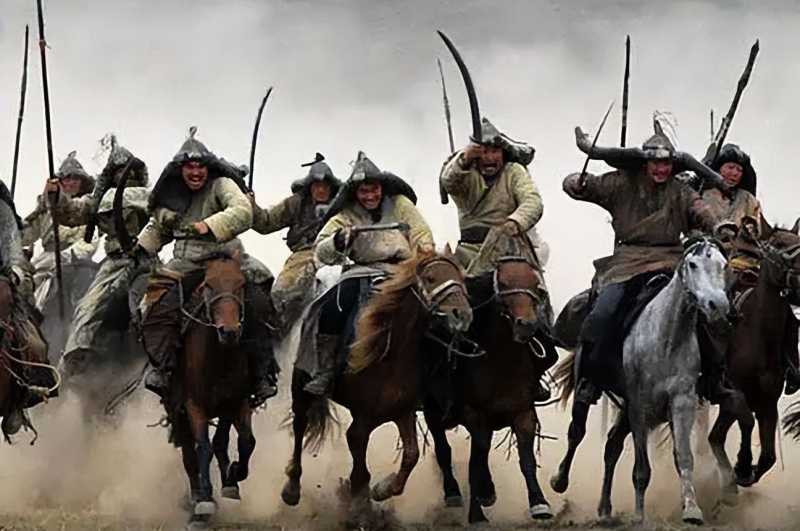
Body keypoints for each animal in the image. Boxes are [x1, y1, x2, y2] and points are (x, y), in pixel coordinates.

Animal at [165, 251, 257, 527]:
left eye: (240, 284)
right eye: (209, 285)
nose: (229, 332)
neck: (219, 358)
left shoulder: (234, 402)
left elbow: (241, 441)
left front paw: (233, 476)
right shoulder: (193, 406)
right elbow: (204, 447)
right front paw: (204, 501)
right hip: (180, 413)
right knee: (189, 455)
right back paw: (196, 499)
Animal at [280, 248, 473, 525]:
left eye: (461, 277)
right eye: (430, 278)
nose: (462, 315)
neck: (389, 354)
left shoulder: (402, 412)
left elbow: (411, 456)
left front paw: (382, 490)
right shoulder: (362, 420)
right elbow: (360, 470)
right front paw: (359, 509)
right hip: (301, 386)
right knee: (299, 425)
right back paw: (291, 488)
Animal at [423, 255, 558, 524]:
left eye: (536, 285)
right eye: (503, 283)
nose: (526, 325)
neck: (500, 363)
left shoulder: (523, 413)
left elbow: (525, 459)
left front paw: (539, 504)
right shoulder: (475, 416)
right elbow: (475, 463)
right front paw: (477, 514)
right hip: (432, 410)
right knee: (444, 449)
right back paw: (453, 492)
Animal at [553, 237, 729, 524]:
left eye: (723, 265)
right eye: (692, 264)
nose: (718, 305)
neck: (666, 338)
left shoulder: (682, 402)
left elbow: (684, 458)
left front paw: (692, 509)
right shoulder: (639, 406)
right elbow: (641, 469)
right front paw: (638, 516)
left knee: (612, 446)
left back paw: (605, 509)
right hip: (590, 387)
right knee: (576, 432)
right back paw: (559, 480)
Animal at [710, 222, 800, 497]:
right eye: (779, 244)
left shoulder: (767, 402)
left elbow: (769, 456)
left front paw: (744, 471)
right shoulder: (737, 393)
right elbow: (747, 423)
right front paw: (742, 465)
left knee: (715, 437)